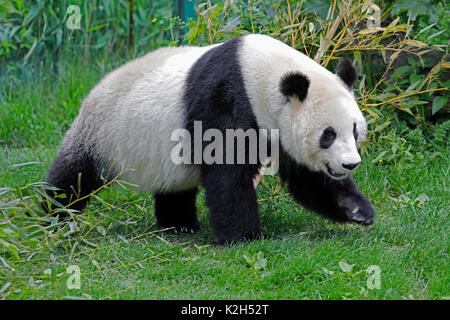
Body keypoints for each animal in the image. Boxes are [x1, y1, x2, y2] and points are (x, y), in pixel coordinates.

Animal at [44, 35, 376, 244]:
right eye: (328, 135)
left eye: (354, 130)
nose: (350, 164)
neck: (262, 76)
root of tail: (94, 90)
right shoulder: (226, 98)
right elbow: (227, 170)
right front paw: (244, 236)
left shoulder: (276, 127)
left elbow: (306, 177)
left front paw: (357, 210)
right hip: (103, 131)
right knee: (75, 176)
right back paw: (52, 218)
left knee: (174, 186)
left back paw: (179, 225)